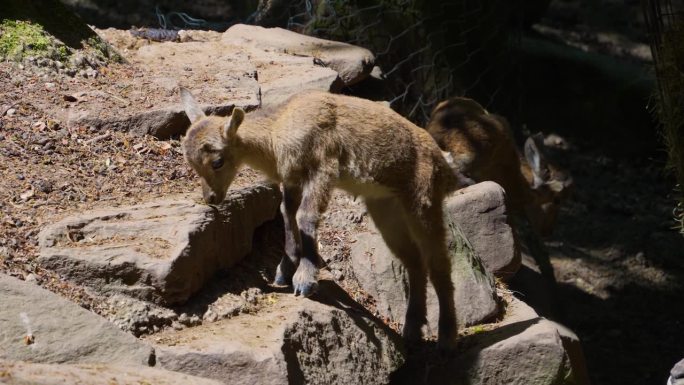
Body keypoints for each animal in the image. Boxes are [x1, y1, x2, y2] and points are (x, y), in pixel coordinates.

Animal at [179, 88, 472, 348]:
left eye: (217, 161)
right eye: (190, 162)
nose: (211, 198)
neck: (277, 132)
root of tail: (443, 165)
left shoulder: (322, 168)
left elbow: (305, 216)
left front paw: (304, 280)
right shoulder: (292, 179)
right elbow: (287, 213)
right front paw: (283, 271)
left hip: (423, 201)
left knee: (439, 263)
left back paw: (446, 338)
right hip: (386, 208)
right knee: (414, 262)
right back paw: (412, 329)